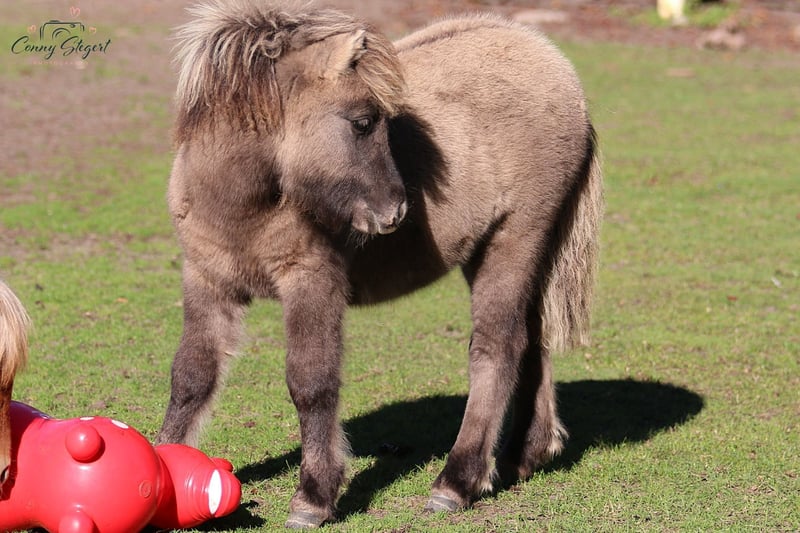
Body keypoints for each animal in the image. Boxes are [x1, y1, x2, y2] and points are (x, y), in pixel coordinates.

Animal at [157, 1, 603, 528]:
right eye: (364, 122)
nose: (395, 211)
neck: (242, 207)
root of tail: (558, 68)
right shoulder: (207, 281)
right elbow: (191, 377)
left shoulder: (312, 282)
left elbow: (311, 382)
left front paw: (314, 498)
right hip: (499, 252)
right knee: (533, 339)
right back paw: (522, 456)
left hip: (515, 240)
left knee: (499, 346)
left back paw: (456, 482)